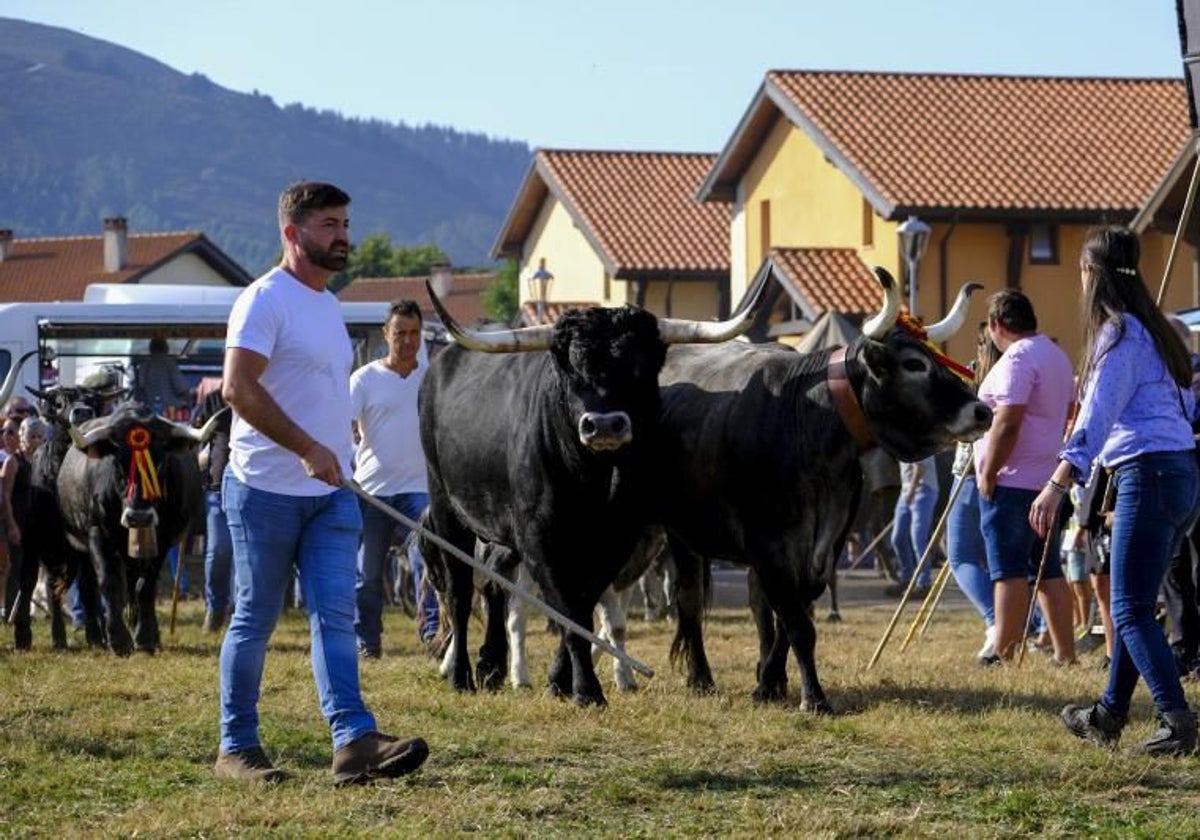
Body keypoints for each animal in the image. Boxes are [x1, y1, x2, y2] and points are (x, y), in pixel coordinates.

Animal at [56, 400, 222, 657]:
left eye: (161, 462)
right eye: (116, 463)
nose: (138, 517)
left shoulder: (161, 538)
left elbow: (146, 586)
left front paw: (144, 638)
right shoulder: (97, 534)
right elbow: (109, 582)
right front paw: (118, 640)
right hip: (80, 546)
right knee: (88, 588)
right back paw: (96, 637)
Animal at [420, 285, 758, 705]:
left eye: (640, 368)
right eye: (571, 369)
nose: (604, 425)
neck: (591, 480)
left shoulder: (615, 542)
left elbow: (580, 608)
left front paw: (560, 680)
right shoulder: (540, 541)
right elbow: (566, 608)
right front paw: (586, 689)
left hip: (501, 532)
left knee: (495, 582)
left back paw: (492, 665)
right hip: (446, 509)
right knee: (461, 592)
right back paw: (462, 674)